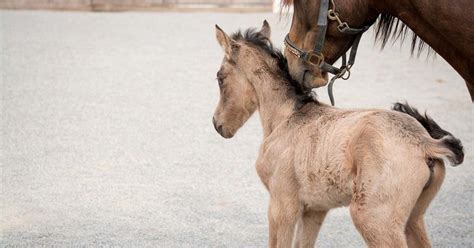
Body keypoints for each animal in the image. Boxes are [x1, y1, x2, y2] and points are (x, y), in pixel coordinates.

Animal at [211, 21, 462, 248]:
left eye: (220, 78)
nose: (217, 124)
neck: (288, 117)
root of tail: (425, 142)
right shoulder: (315, 210)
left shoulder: (282, 206)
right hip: (413, 219)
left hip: (374, 218)